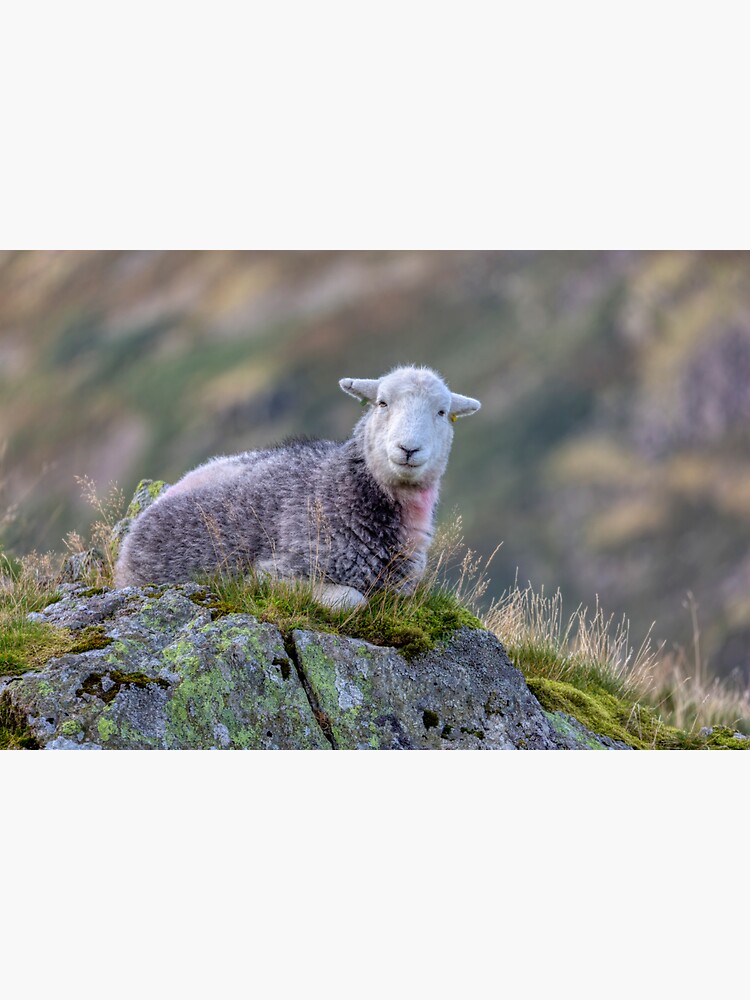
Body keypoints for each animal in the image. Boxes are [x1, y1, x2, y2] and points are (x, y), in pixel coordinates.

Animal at [114, 365, 481, 609]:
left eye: (442, 412)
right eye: (382, 403)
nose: (408, 449)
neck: (338, 486)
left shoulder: (403, 586)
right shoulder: (273, 574)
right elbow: (352, 600)